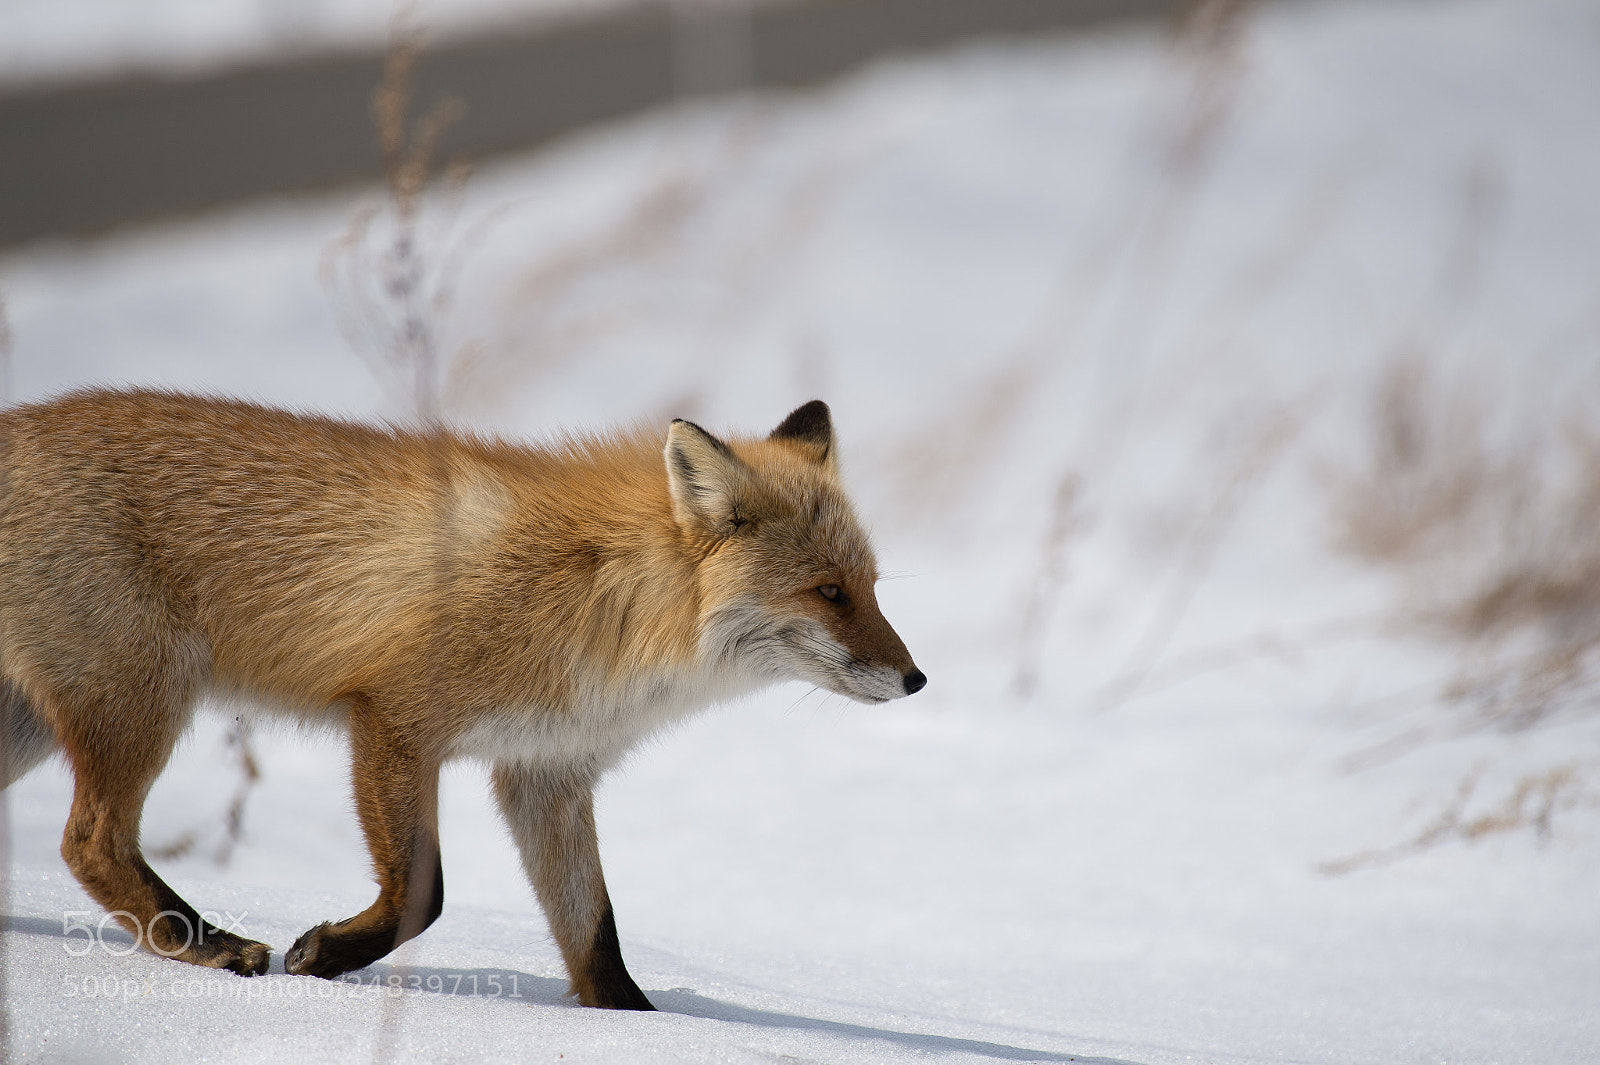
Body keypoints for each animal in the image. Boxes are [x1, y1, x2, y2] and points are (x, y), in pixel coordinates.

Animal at [0, 389, 923, 1010]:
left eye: (873, 586)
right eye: (829, 592)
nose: (917, 679)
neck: (604, 601)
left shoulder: (545, 773)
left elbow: (595, 933)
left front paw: (636, 1026)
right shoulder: (394, 717)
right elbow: (425, 892)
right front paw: (326, 957)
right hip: (141, 701)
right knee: (90, 841)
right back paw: (206, 945)